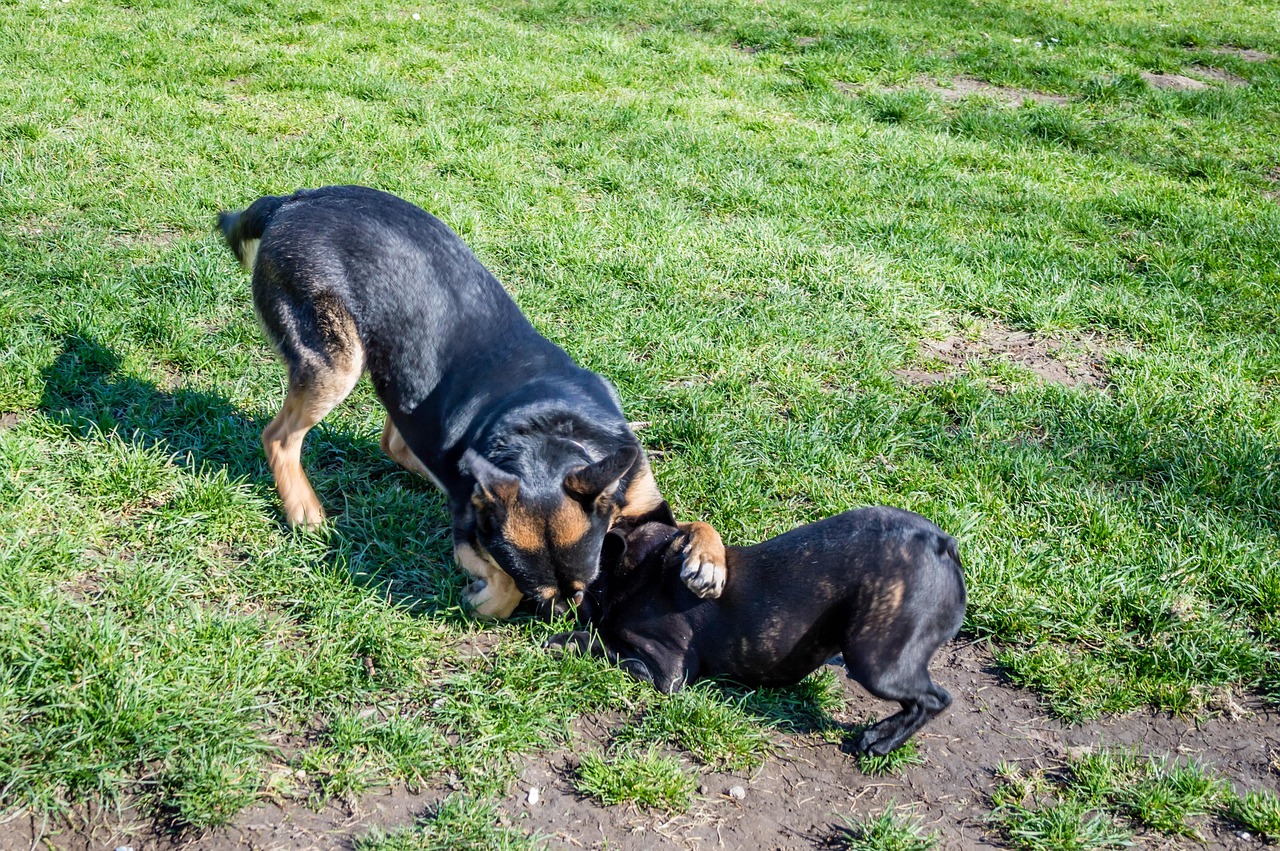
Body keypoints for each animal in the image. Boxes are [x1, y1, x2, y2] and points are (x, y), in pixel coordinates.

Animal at [215, 184, 727, 616]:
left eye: (586, 584)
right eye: (547, 594)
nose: (563, 616)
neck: (546, 434)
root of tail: (290, 202)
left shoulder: (639, 497)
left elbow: (698, 523)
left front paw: (709, 562)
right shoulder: (471, 534)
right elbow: (503, 579)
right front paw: (485, 600)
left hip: (399, 368)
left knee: (395, 441)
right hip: (335, 359)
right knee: (280, 436)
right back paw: (304, 509)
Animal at [545, 501, 962, 752]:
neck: (643, 562)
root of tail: (941, 543)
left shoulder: (662, 667)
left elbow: (603, 644)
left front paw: (564, 641)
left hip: (875, 660)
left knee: (933, 699)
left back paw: (883, 741)